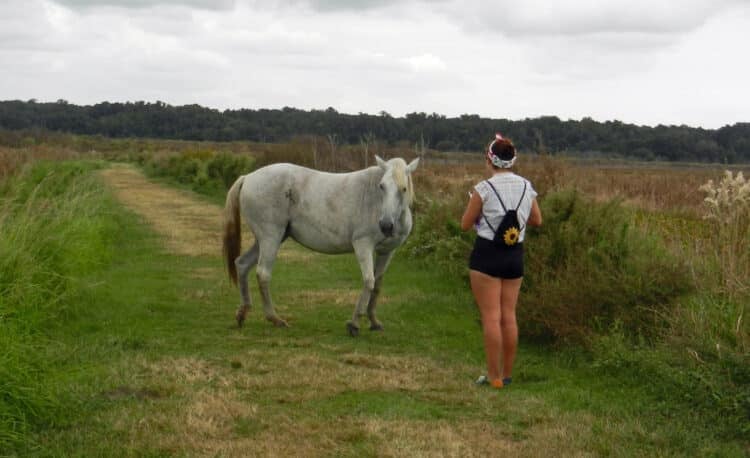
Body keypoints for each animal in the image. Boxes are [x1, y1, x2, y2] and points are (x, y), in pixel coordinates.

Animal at [223, 155, 420, 336]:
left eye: (403, 188)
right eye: (382, 186)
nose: (386, 226)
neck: (375, 201)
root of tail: (248, 177)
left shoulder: (387, 252)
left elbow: (377, 285)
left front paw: (374, 321)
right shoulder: (363, 245)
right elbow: (368, 281)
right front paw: (354, 324)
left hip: (267, 239)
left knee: (242, 264)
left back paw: (242, 313)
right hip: (270, 237)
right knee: (263, 274)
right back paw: (275, 319)